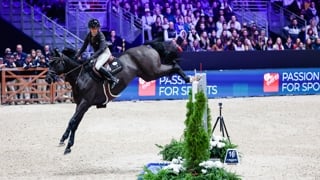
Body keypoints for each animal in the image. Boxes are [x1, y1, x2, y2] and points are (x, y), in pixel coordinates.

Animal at [45, 41, 192, 154]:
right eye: (48, 63)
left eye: (54, 63)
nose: (47, 79)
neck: (81, 76)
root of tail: (147, 46)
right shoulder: (80, 105)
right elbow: (74, 123)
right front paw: (66, 142)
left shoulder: (85, 103)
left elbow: (73, 121)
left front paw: (66, 144)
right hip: (148, 74)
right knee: (172, 65)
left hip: (153, 71)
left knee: (174, 66)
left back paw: (187, 78)